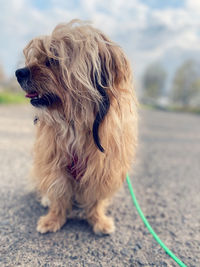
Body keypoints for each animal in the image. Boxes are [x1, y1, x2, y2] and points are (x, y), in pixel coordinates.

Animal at [15, 19, 138, 236]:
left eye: (53, 59)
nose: (19, 73)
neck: (74, 122)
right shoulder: (54, 162)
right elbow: (58, 192)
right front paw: (53, 218)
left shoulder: (103, 168)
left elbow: (96, 198)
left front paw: (98, 220)